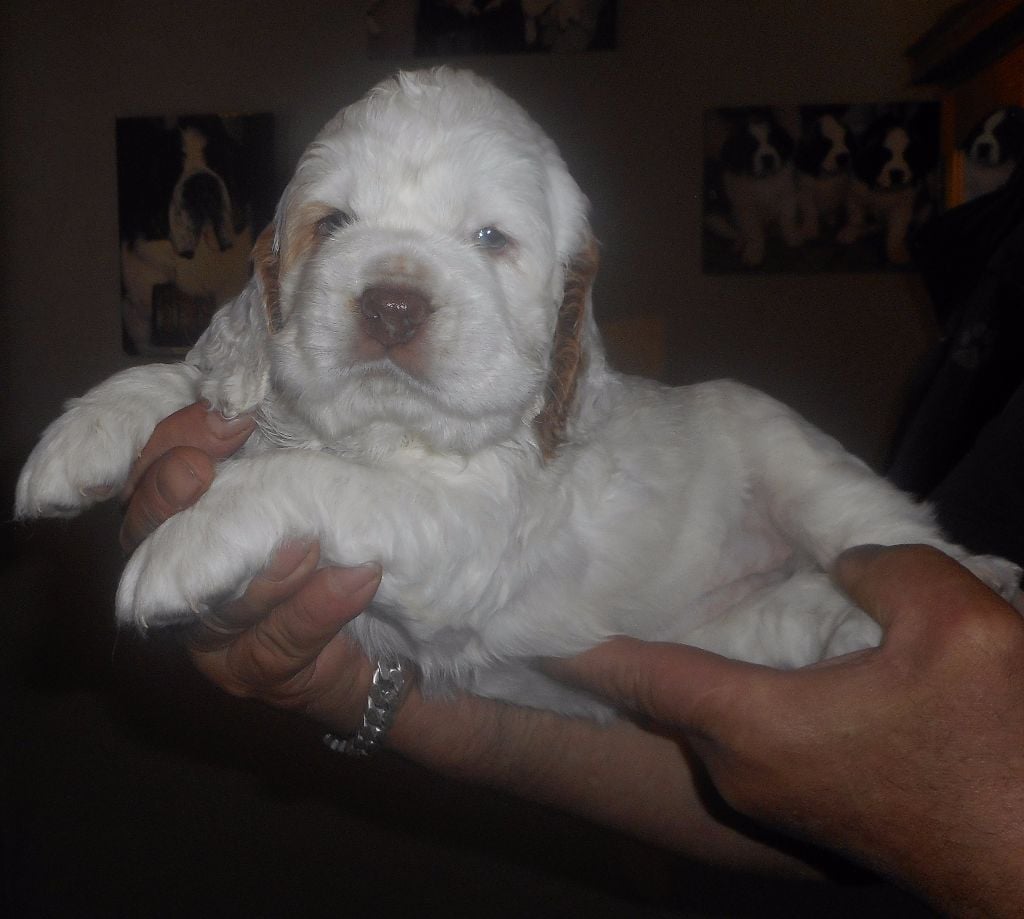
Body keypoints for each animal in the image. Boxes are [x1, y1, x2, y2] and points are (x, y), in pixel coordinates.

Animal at [712, 111, 803, 267]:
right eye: (751, 147)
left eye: (774, 142)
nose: (768, 158)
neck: (763, 181)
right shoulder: (747, 208)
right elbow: (754, 232)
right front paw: (754, 253)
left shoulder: (787, 197)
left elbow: (787, 221)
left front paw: (792, 238)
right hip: (735, 213)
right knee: (740, 231)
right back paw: (739, 243)